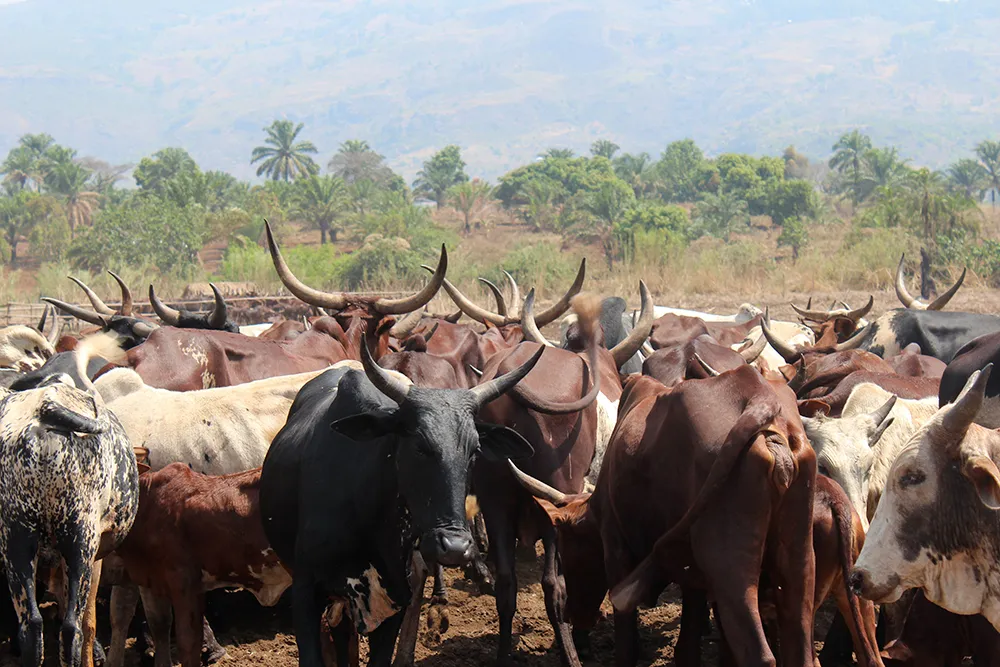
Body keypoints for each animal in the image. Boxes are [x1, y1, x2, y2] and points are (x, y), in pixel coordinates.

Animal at [0, 375, 139, 667]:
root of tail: (44, 406)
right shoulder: (94, 557)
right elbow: (89, 623)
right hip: (80, 541)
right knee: (72, 629)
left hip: (16, 540)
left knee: (31, 626)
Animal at [506, 364, 816, 667]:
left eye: (568, 549)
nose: (573, 614)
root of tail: (758, 397)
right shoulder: (691, 574)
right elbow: (687, 646)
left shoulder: (616, 548)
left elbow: (627, 641)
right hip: (798, 558)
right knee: (801, 647)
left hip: (729, 567)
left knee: (759, 654)